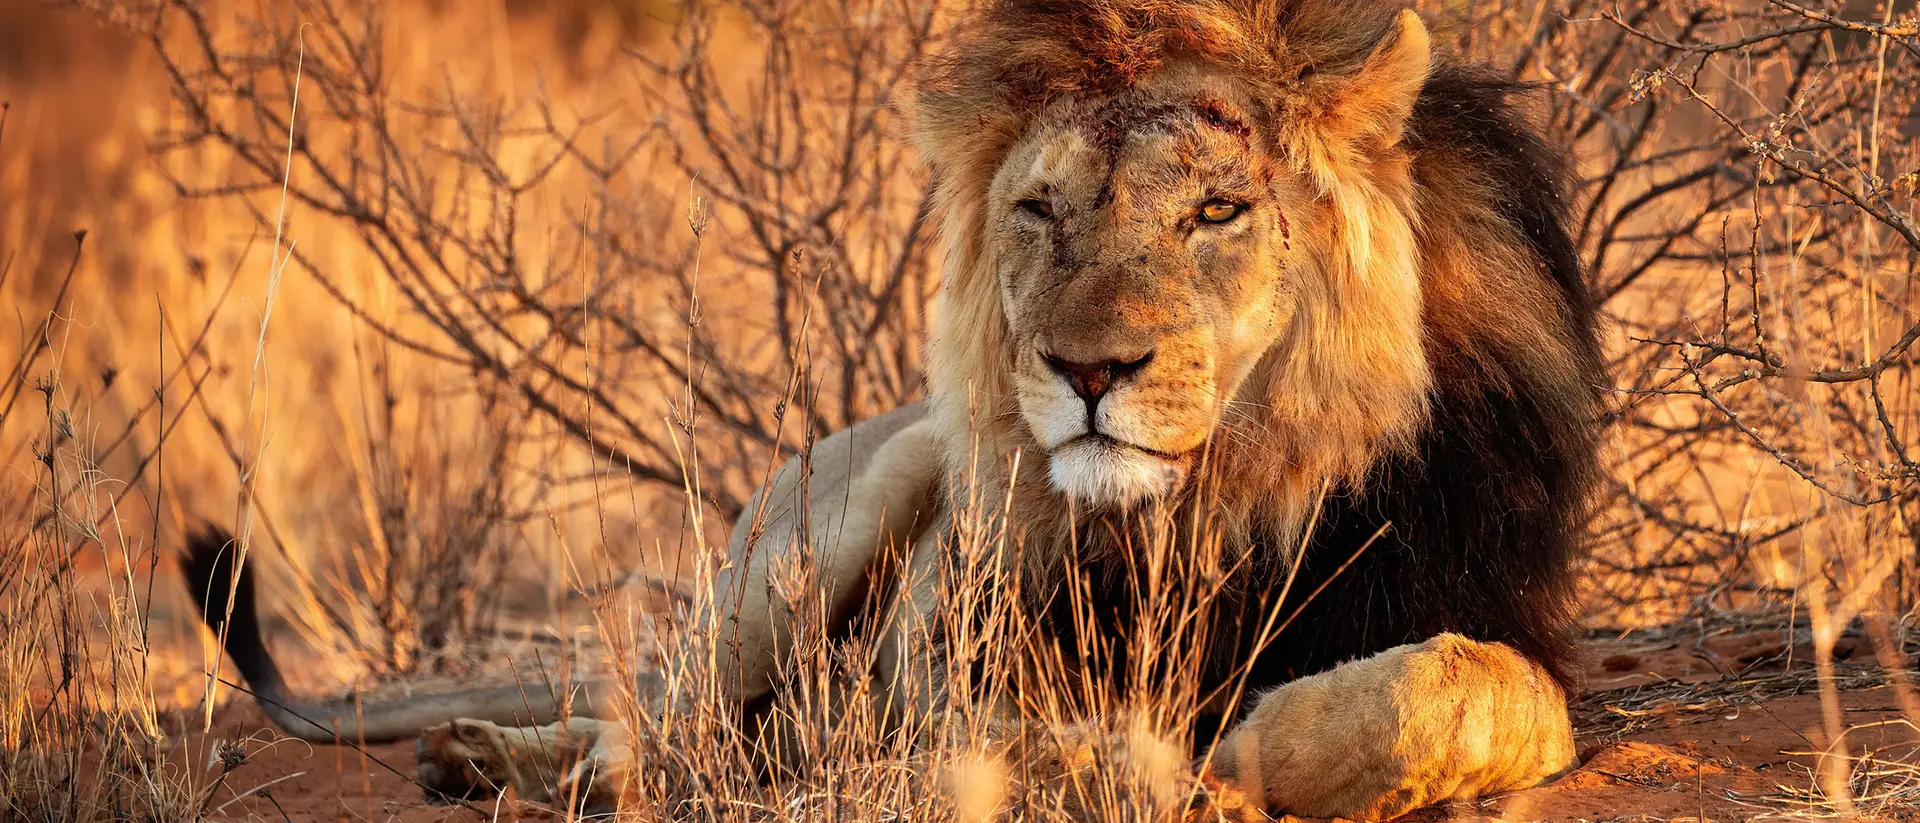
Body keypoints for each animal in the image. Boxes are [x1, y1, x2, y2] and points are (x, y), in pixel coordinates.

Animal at [180, 0, 1605, 818]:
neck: (1224, 506)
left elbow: (1473, 695)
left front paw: (1261, 745)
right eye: (1041, 211)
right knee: (673, 728)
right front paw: (1183, 771)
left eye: (1216, 210)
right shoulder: (951, 661)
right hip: (836, 520)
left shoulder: (1486, 603)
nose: (1087, 371)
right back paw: (516, 760)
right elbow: (1032, 748)